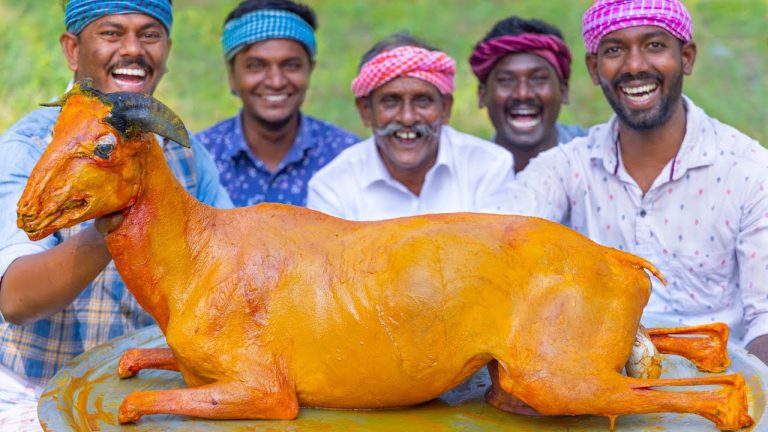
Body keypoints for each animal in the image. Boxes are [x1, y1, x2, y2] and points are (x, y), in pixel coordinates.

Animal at [17, 81, 753, 430]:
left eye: (104, 147)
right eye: (53, 132)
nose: (26, 212)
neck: (198, 253)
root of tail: (619, 263)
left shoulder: (264, 392)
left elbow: (134, 405)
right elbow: (137, 361)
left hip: (557, 379)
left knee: (713, 390)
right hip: (535, 380)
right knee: (688, 348)